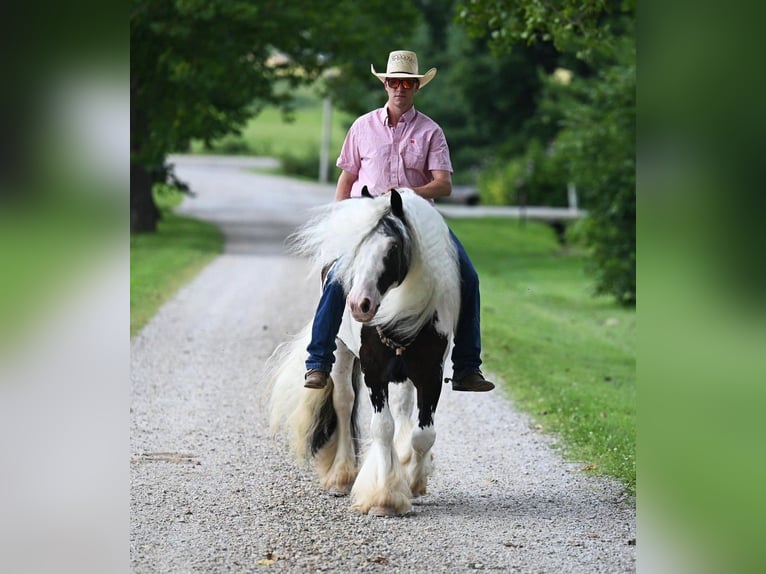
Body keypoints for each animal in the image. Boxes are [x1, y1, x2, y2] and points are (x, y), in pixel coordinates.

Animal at [268, 188, 462, 516]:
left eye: (393, 247)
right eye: (358, 246)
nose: (359, 304)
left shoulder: (430, 376)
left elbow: (423, 434)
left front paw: (413, 483)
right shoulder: (374, 373)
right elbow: (382, 427)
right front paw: (384, 498)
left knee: (403, 409)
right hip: (341, 354)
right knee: (344, 403)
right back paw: (341, 477)